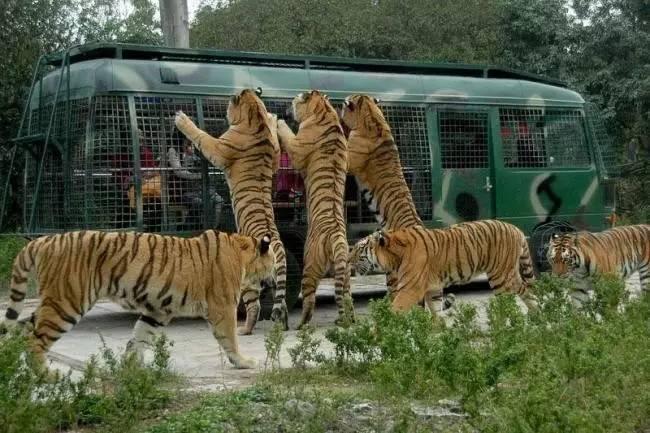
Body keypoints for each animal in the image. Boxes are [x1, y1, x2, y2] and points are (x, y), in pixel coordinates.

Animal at [0, 230, 274, 368]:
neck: (241, 252)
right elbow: (230, 338)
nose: (271, 282)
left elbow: (140, 337)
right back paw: (47, 377)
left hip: (53, 302)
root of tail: (43, 240)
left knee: (21, 331)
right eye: (272, 262)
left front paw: (131, 368)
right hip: (67, 302)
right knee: (35, 342)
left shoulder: (158, 311)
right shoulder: (223, 307)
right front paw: (244, 361)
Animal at [173, 86, 288, 332]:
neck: (255, 118)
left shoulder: (218, 147)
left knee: (254, 306)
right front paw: (273, 118)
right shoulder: (274, 155)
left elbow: (201, 136)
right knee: (281, 305)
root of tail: (276, 245)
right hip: (276, 280)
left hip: (247, 281)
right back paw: (281, 327)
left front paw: (182, 119)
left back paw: (244, 330)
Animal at [274, 91, 354, 328]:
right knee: (346, 296)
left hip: (309, 266)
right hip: (344, 271)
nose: (284, 110)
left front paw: (278, 122)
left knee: (309, 300)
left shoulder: (297, 147)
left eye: (293, 101)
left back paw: (301, 325)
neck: (324, 110)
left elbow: (287, 135)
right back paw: (350, 320)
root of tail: (336, 237)